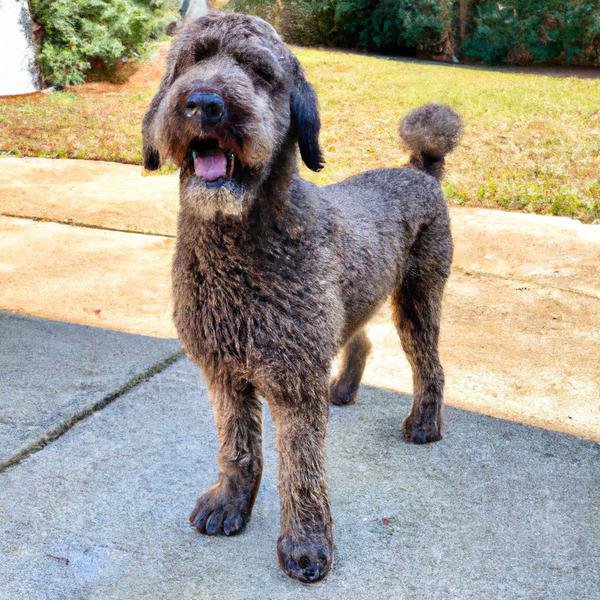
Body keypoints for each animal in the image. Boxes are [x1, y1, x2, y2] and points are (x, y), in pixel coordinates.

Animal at [143, 10, 462, 584]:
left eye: (260, 72)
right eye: (188, 63)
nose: (203, 102)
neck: (240, 243)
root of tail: (419, 169)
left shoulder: (294, 383)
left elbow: (301, 469)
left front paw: (306, 544)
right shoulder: (224, 372)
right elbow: (237, 447)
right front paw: (230, 503)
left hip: (418, 299)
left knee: (431, 365)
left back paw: (425, 423)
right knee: (360, 340)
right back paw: (346, 387)